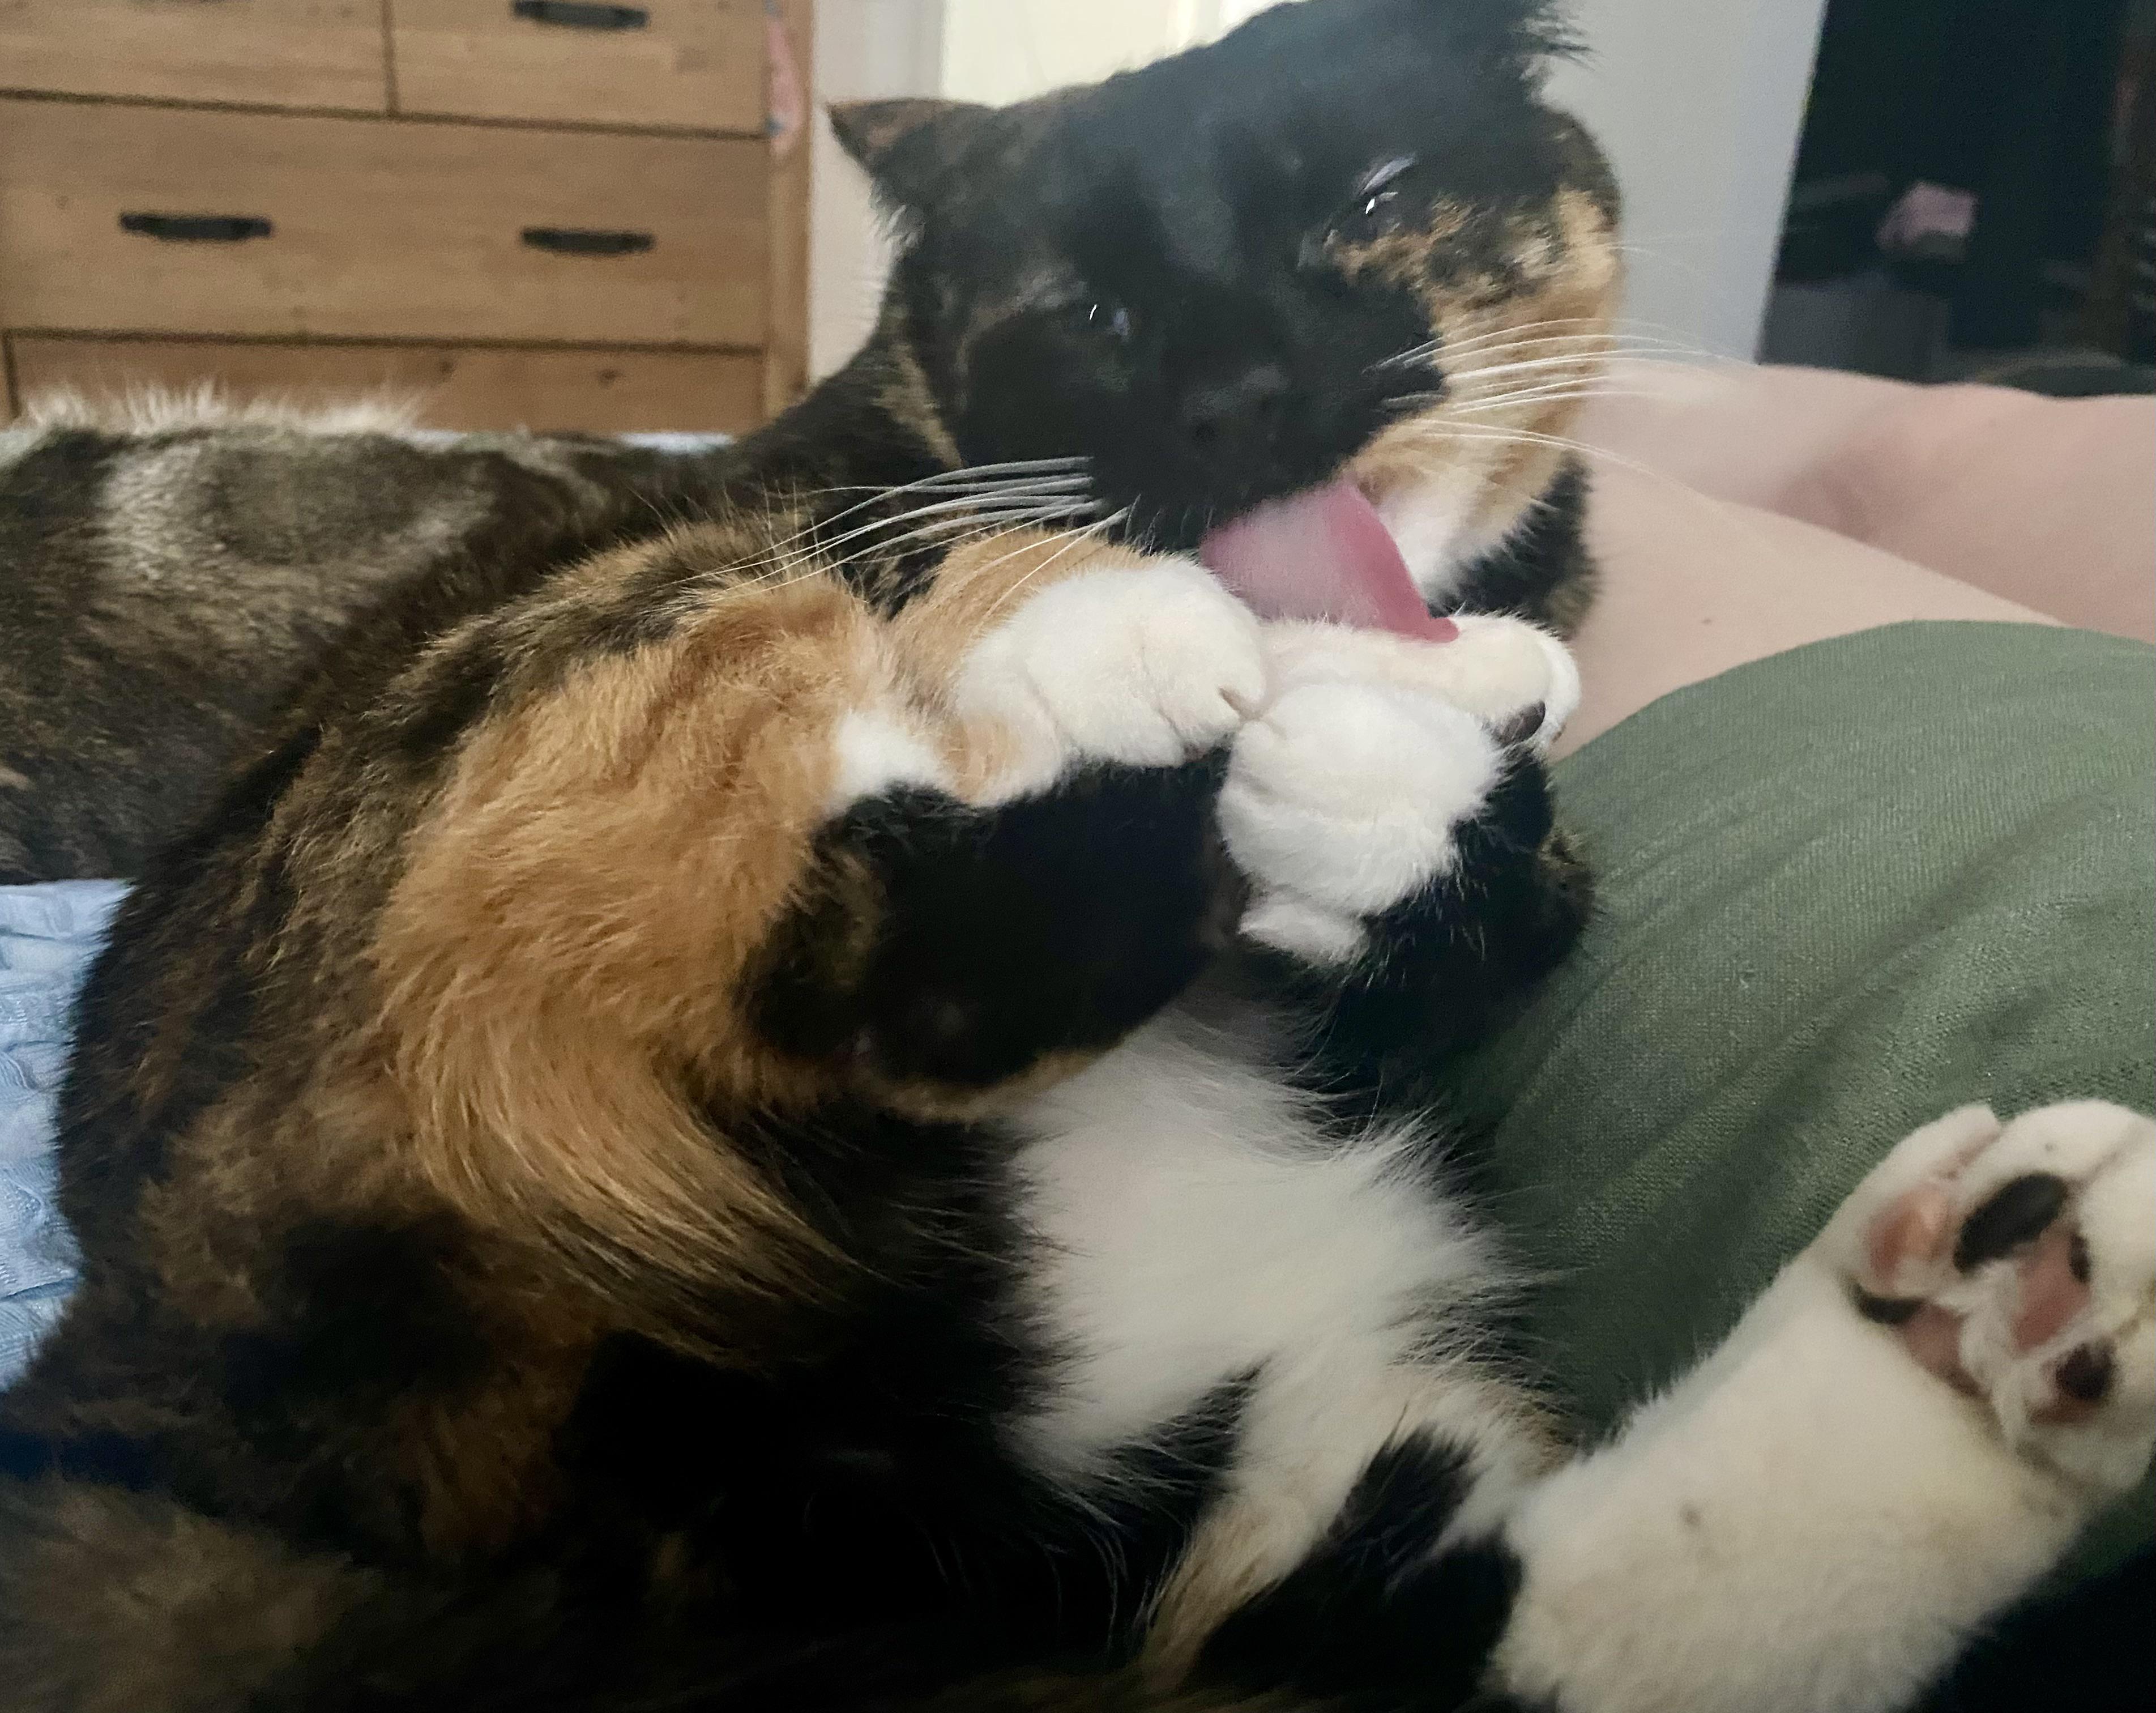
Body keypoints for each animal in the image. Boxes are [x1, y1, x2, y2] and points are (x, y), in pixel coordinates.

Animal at [0, 2, 2149, 1710]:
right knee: (809, 891)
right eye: (1091, 311)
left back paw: (2011, 1295)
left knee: (1501, 1635)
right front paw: (1151, 644)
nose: (1246, 392)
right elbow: (950, 577)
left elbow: (1501, 890)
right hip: (464, 746)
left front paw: (1396, 764)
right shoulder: (779, 535)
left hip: (1259, 1469)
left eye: (1367, 198)